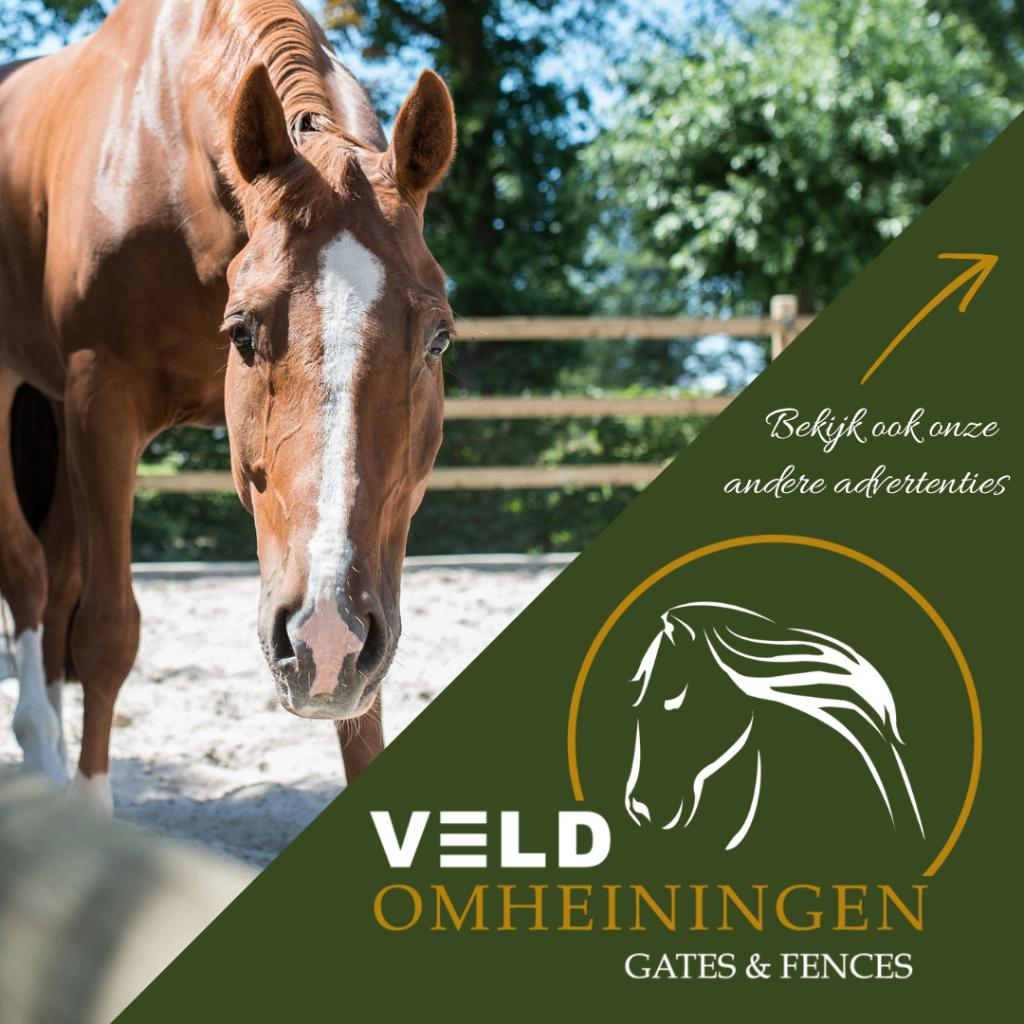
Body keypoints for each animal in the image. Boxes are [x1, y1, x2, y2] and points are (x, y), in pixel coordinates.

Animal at [0, 0, 457, 812]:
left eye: (438, 338)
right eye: (240, 332)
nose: (326, 636)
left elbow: (365, 714)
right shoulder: (100, 405)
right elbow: (108, 630)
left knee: (54, 580)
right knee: (27, 570)